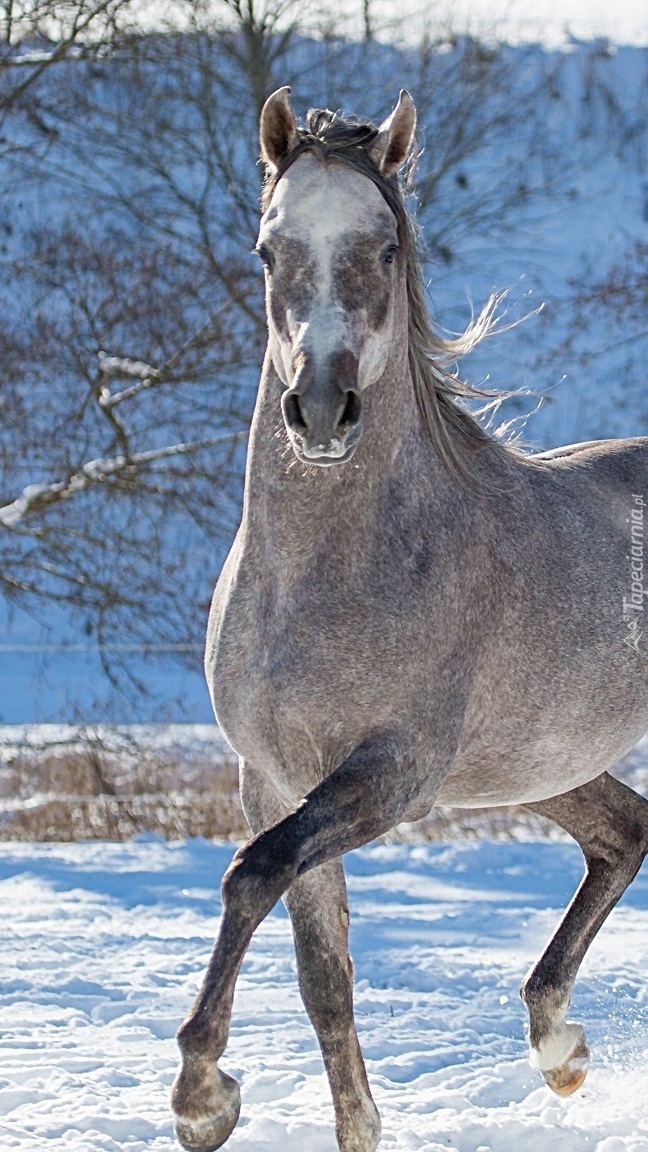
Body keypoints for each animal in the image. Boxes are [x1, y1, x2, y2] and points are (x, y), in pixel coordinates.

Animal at [170, 89, 645, 1152]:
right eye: (268, 249)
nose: (320, 410)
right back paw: (559, 1049)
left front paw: (202, 1095)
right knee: (625, 833)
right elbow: (322, 980)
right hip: (536, 763)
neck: (323, 582)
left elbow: (251, 874)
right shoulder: (274, 778)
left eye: (385, 248)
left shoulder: (392, 776)